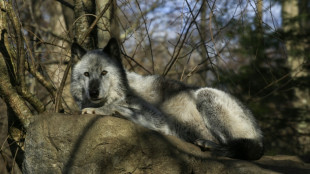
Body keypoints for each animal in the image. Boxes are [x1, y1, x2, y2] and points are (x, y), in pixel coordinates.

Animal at [71, 38, 264, 160]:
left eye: (104, 72)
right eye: (86, 74)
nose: (93, 92)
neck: (123, 91)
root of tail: (260, 133)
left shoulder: (162, 121)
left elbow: (116, 107)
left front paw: (100, 110)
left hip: (205, 95)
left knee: (236, 146)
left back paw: (208, 144)